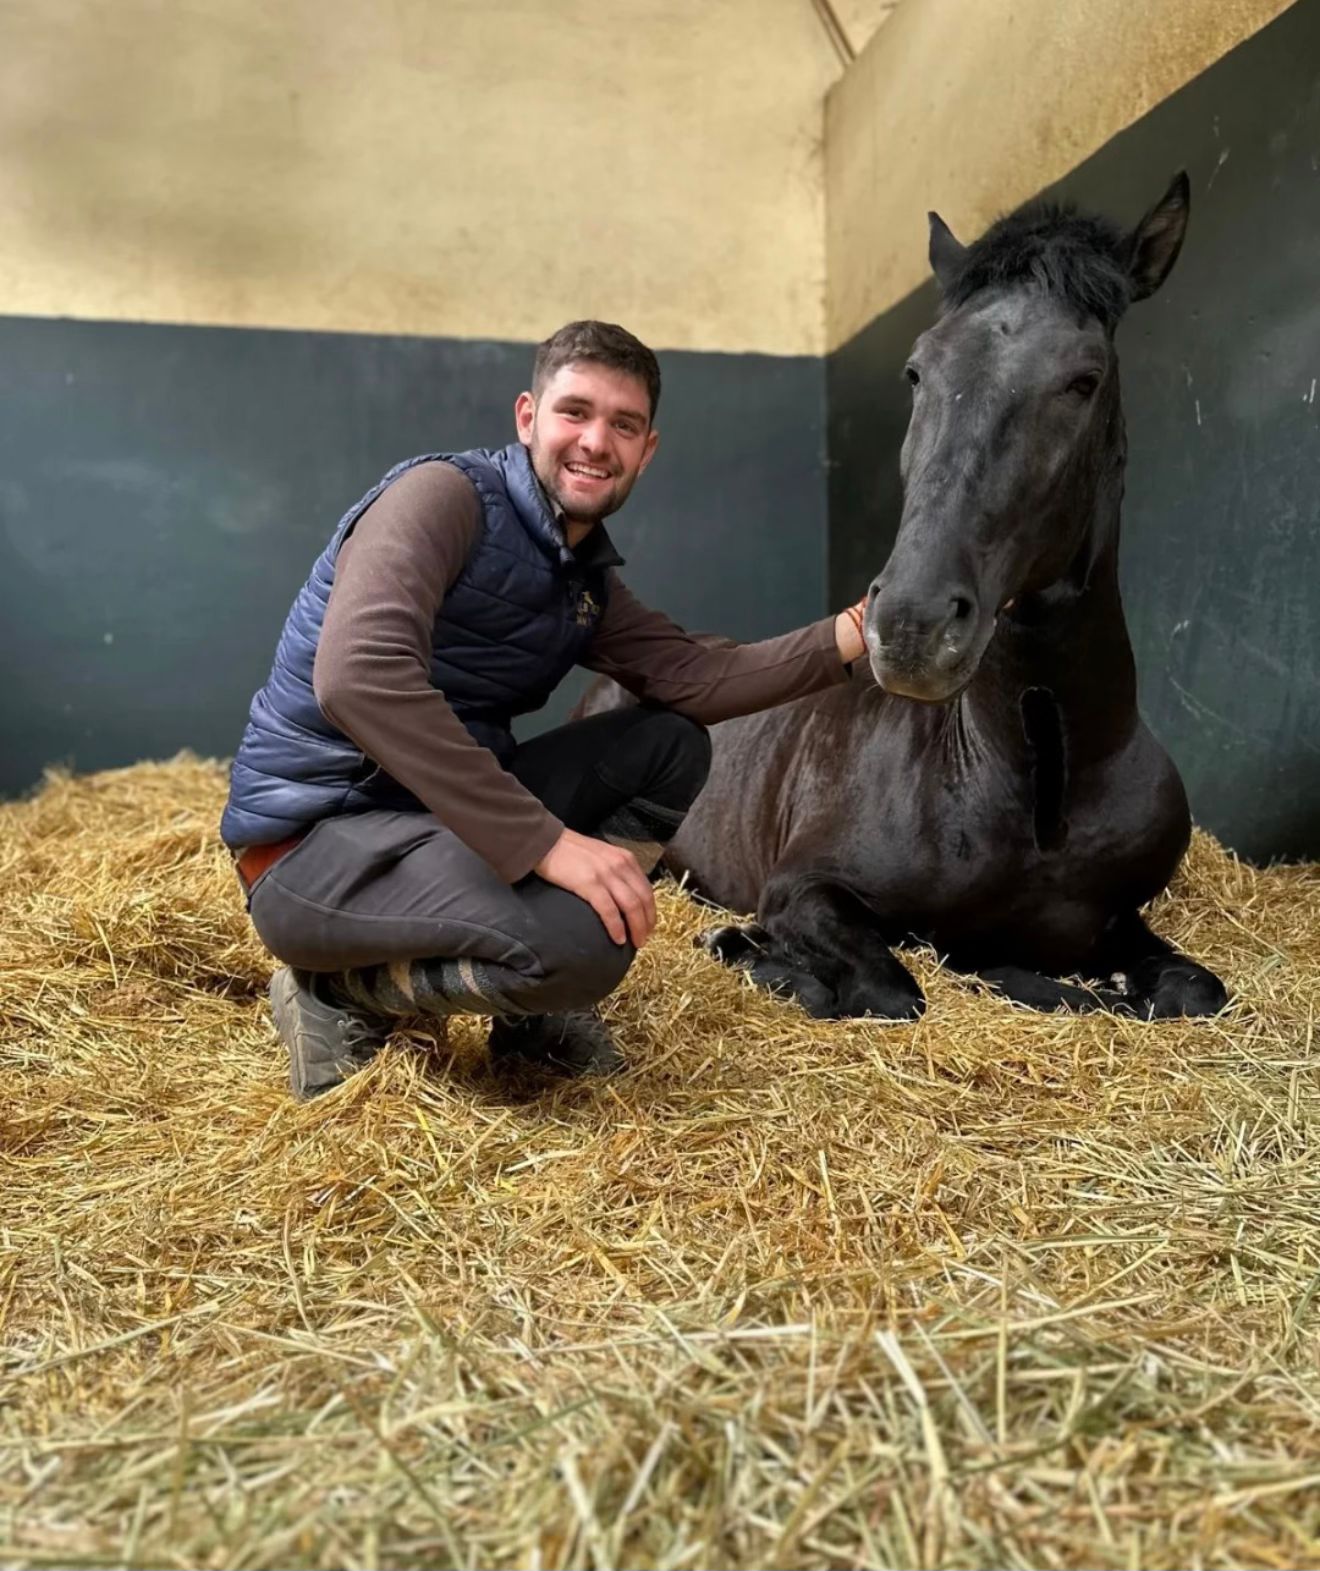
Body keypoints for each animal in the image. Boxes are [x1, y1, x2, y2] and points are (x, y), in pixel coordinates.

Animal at [586, 172, 1228, 1022]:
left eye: (1085, 379)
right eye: (918, 371)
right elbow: (892, 987)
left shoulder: (1124, 920)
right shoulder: (804, 887)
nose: (913, 625)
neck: (1032, 786)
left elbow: (1191, 987)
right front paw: (758, 954)